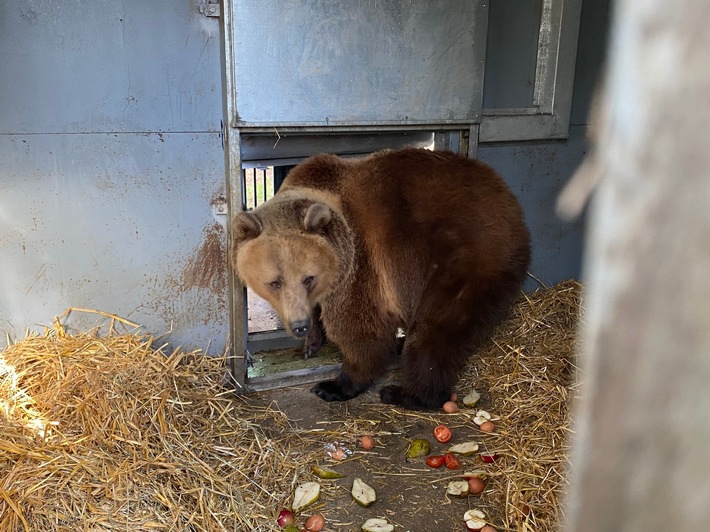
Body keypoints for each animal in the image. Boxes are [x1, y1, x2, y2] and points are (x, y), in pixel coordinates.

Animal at [236, 148, 532, 410]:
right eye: (275, 282)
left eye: (308, 278)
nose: (298, 326)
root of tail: (510, 203)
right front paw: (311, 344)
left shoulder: (362, 265)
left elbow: (361, 330)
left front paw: (334, 385)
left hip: (462, 261)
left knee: (437, 330)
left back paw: (406, 393)